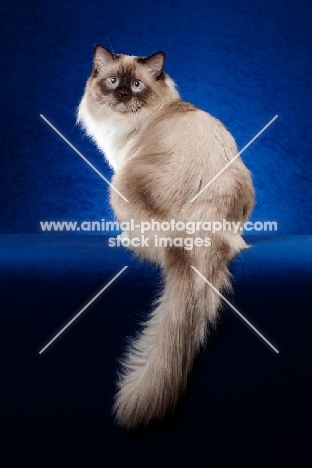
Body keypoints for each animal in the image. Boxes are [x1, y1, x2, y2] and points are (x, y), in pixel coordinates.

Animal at [77, 45, 255, 430]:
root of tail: (199, 229)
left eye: (136, 85)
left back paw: (123, 238)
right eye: (112, 82)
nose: (122, 95)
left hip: (120, 186)